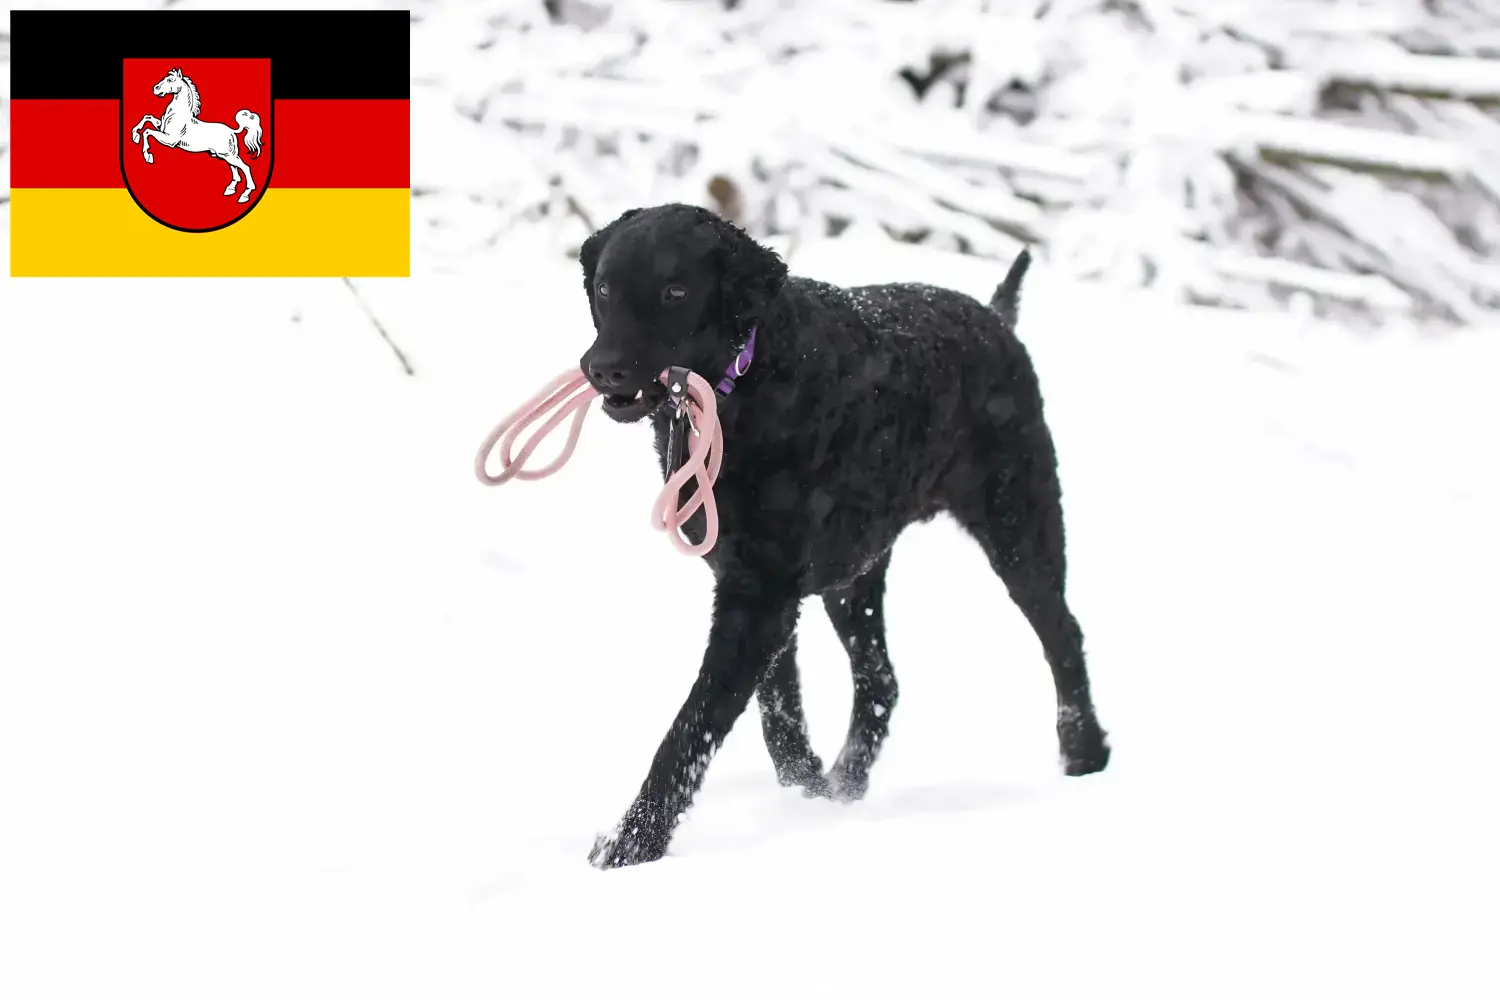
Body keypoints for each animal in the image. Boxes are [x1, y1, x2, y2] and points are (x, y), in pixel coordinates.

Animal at [579, 203, 1110, 869]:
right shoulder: (755, 584)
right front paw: (803, 786)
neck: (751, 385)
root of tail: (994, 316)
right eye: (605, 289)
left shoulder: (761, 597)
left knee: (1063, 635)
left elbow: (692, 726)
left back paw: (1085, 754)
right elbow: (776, 708)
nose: (602, 368)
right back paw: (845, 784)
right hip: (853, 574)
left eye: (675, 291)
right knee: (881, 680)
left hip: (1020, 529)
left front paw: (631, 845)